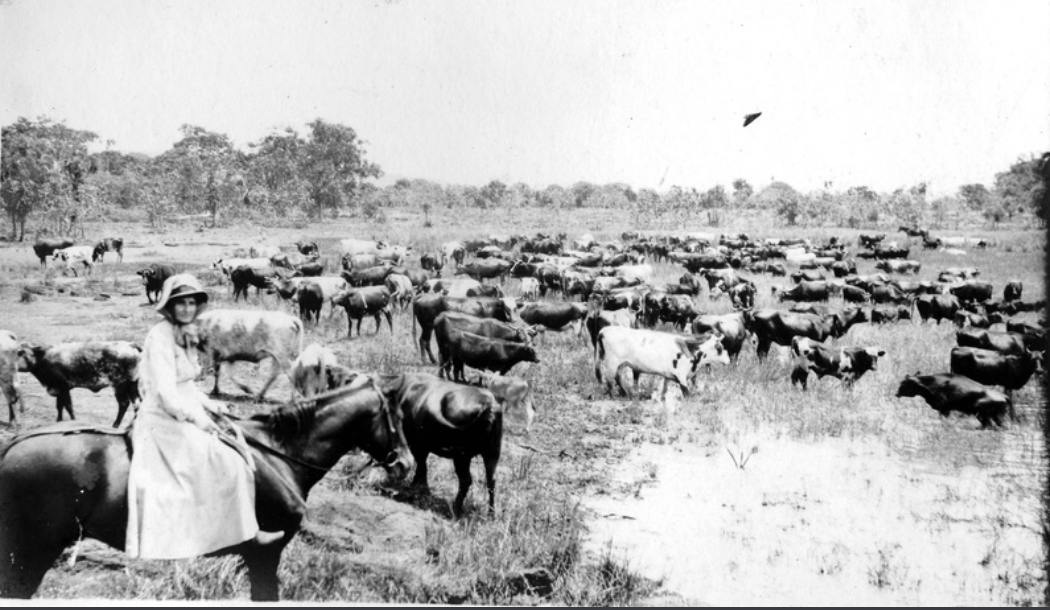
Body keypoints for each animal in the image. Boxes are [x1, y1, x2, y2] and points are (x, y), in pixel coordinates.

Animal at [0, 375, 411, 600]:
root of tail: (13, 445)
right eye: (397, 416)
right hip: (33, 550)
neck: (279, 454)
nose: (405, 464)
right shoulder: (266, 553)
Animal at [592, 327, 730, 398]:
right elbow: (686, 392)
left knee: (617, 377)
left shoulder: (669, 374)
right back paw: (613, 396)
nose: (728, 359)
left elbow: (665, 387)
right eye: (720, 347)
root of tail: (604, 330)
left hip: (621, 364)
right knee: (609, 380)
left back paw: (625, 394)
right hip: (611, 363)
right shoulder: (681, 375)